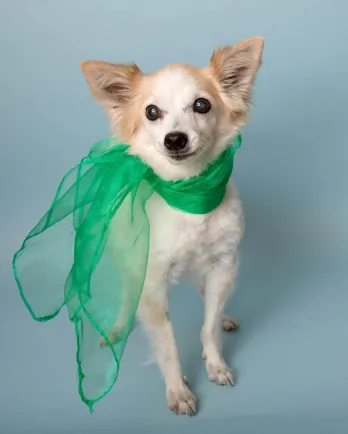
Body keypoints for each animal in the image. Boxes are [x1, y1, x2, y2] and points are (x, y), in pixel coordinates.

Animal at [80, 35, 262, 416]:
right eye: (152, 112)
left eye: (201, 105)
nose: (175, 138)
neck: (189, 194)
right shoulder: (151, 285)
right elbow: (167, 345)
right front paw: (178, 390)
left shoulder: (223, 265)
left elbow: (208, 326)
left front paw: (216, 362)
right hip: (128, 262)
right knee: (128, 296)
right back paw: (118, 328)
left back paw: (225, 316)